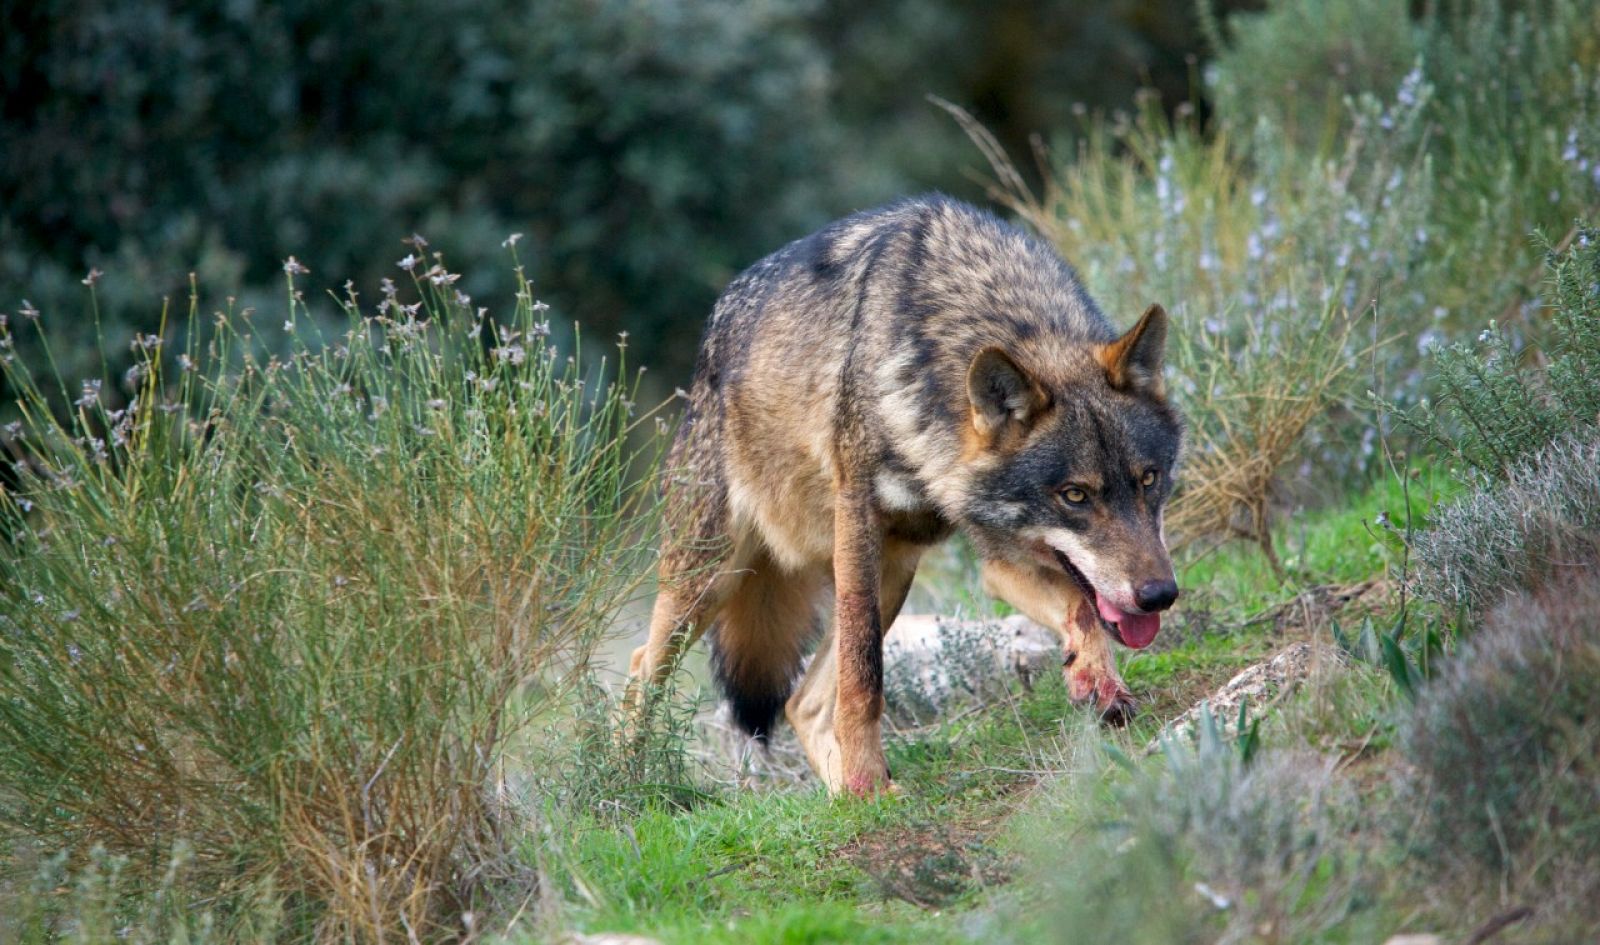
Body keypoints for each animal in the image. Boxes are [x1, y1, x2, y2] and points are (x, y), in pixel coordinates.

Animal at [630, 195, 1184, 796]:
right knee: (641, 669)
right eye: (1076, 495)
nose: (1160, 595)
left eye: (1148, 479)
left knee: (802, 704)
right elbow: (863, 676)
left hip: (893, 573)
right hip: (712, 579)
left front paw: (1097, 682)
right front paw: (866, 775)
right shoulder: (858, 519)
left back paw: (851, 798)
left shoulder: (999, 556)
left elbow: (1080, 607)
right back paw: (626, 782)